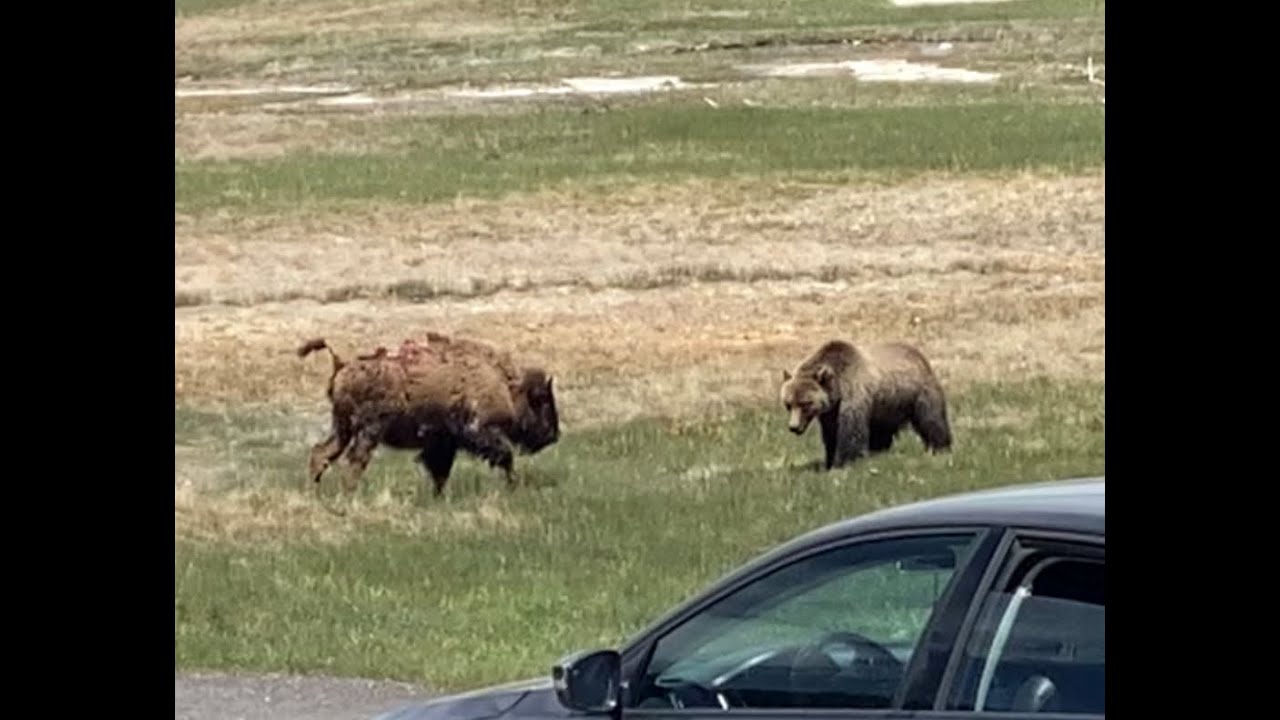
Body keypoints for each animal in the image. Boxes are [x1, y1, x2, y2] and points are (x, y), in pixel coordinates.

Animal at [302, 333, 563, 497]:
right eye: (542, 402)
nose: (554, 435)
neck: (505, 385)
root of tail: (342, 364)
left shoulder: (443, 443)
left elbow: (440, 472)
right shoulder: (478, 432)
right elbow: (505, 456)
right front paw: (514, 484)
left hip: (342, 429)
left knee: (322, 453)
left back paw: (316, 491)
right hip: (367, 431)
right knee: (354, 460)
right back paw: (348, 494)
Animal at [778, 338, 952, 468]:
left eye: (805, 403)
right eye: (788, 404)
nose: (793, 427)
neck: (838, 388)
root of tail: (918, 354)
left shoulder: (853, 395)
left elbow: (851, 431)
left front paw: (844, 462)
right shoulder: (831, 411)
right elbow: (831, 433)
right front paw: (829, 460)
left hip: (918, 393)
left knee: (931, 420)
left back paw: (940, 447)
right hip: (886, 406)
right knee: (882, 431)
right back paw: (879, 451)